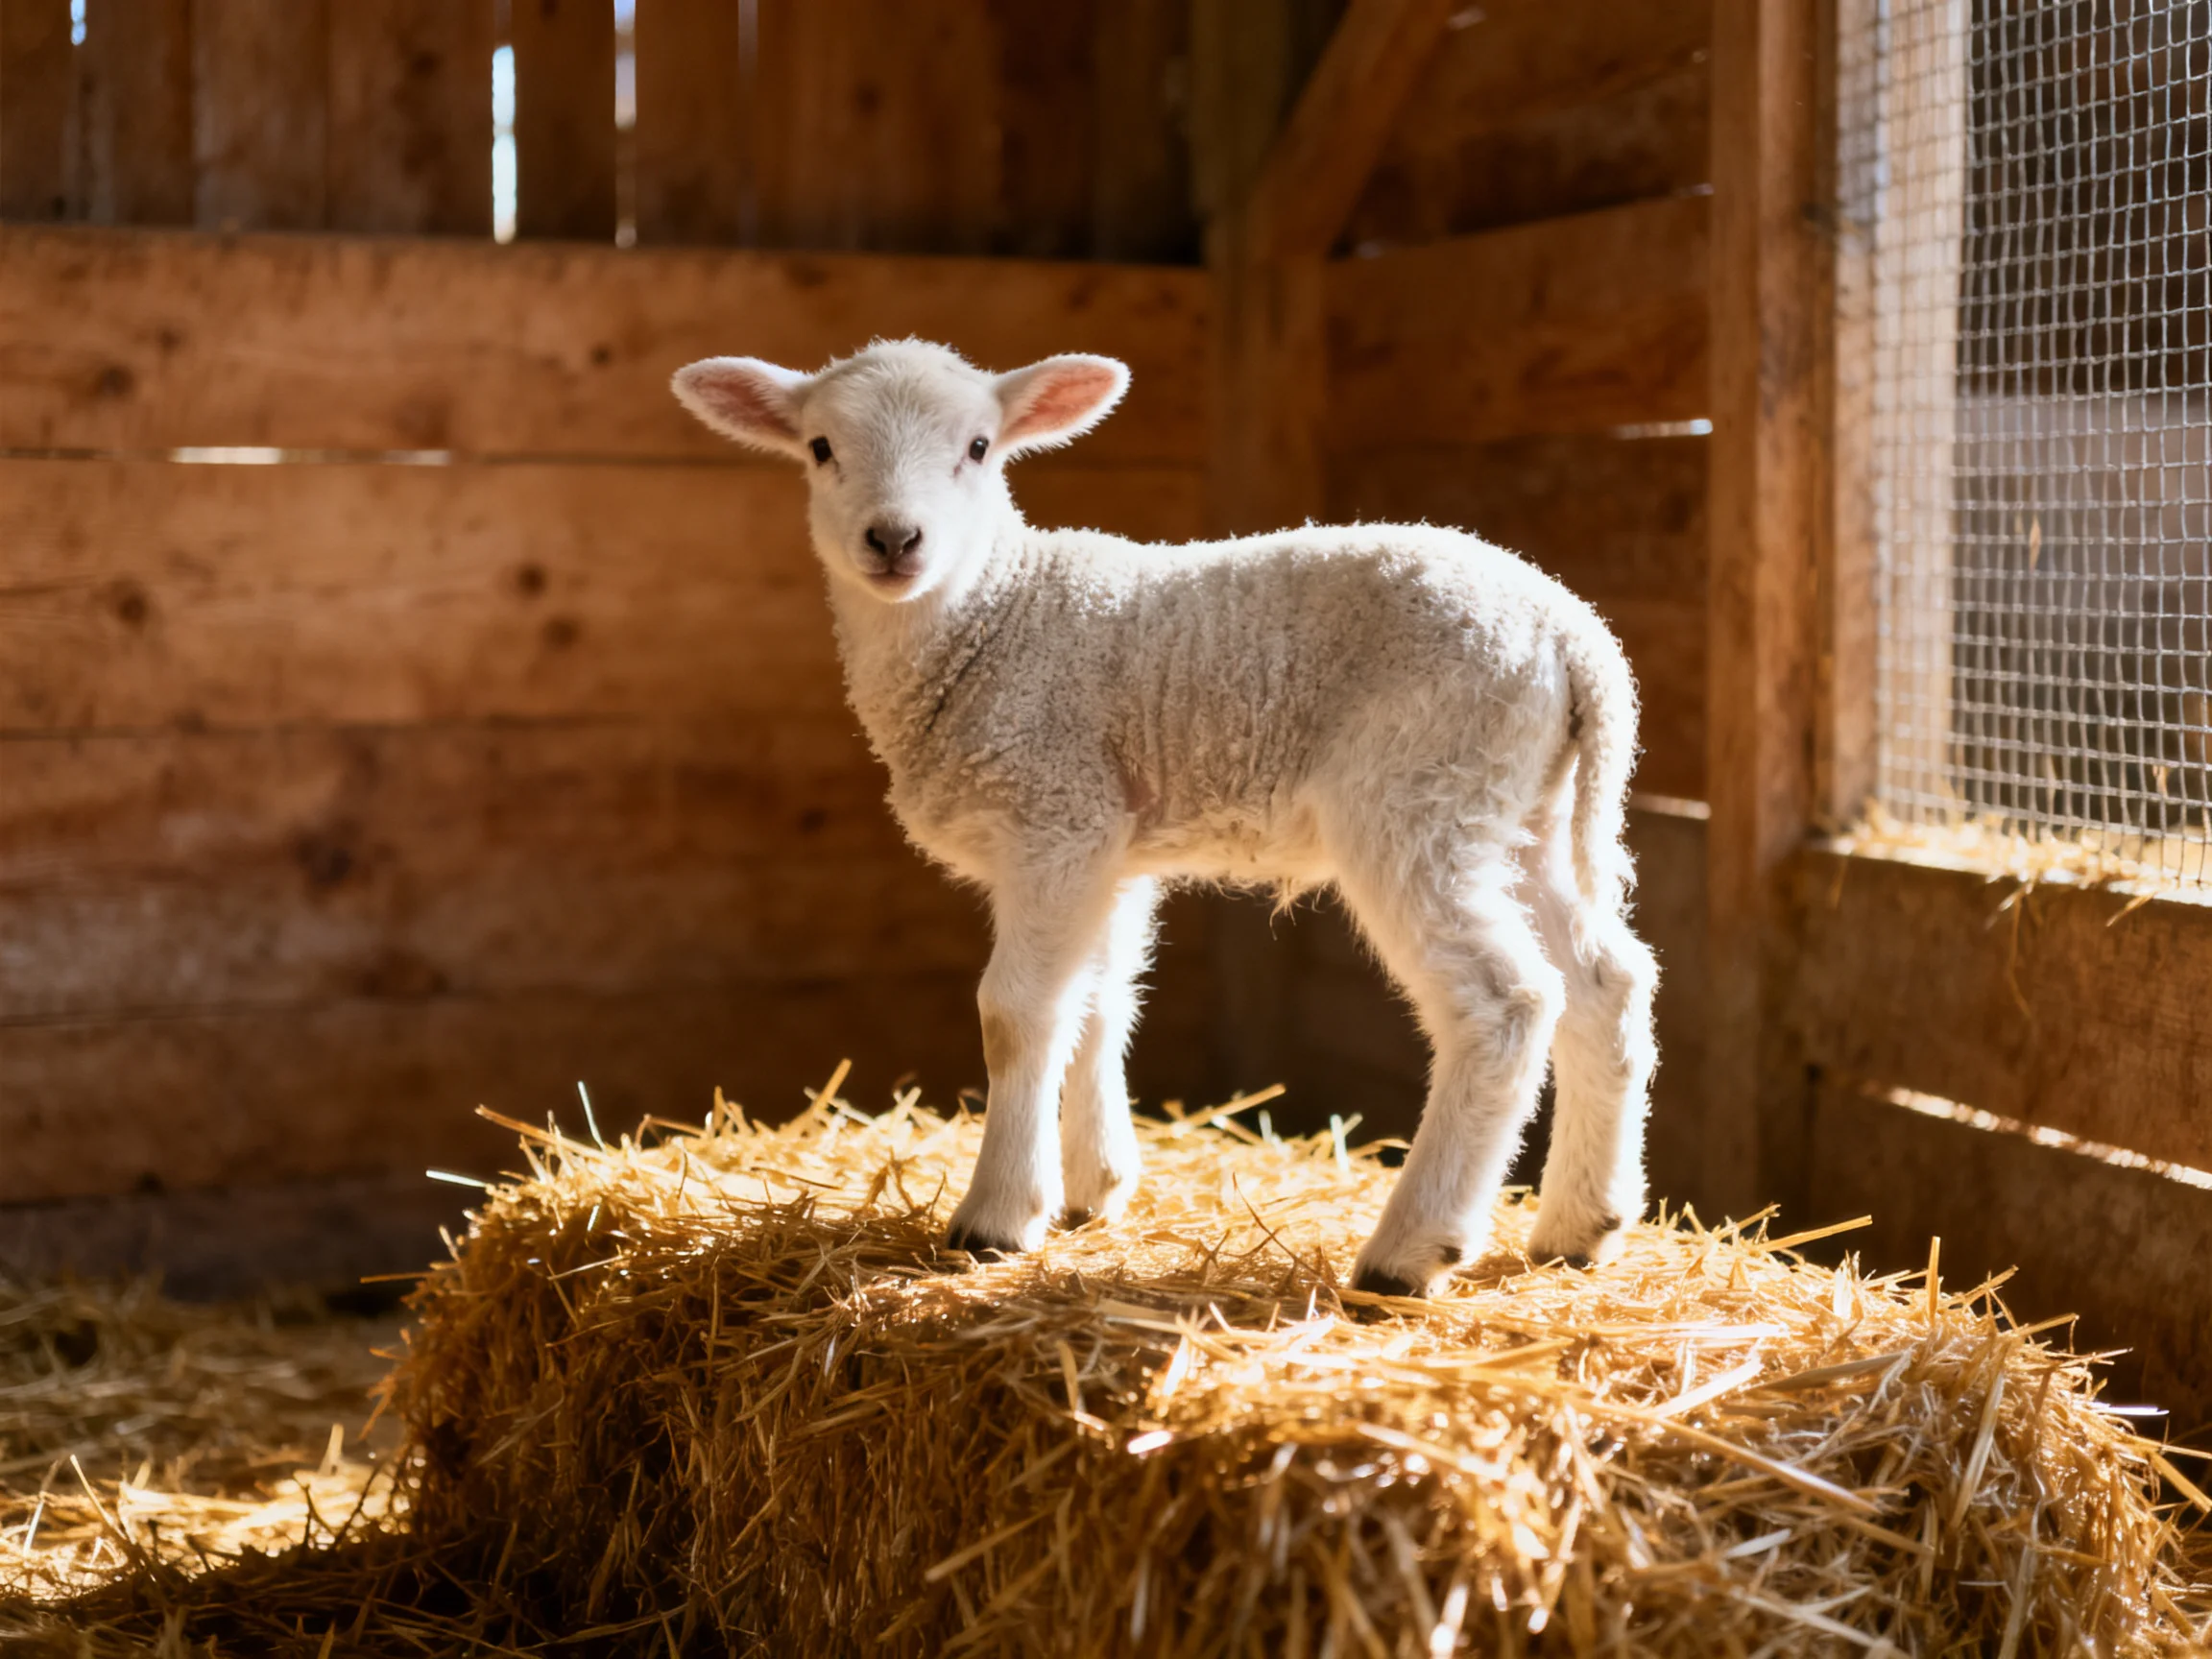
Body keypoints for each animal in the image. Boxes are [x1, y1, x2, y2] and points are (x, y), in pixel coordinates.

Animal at [671, 339, 1658, 1296]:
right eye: (820, 447)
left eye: (980, 447)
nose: (893, 538)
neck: (996, 613)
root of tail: (1574, 634)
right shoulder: (1105, 838)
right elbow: (1099, 997)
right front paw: (1093, 1188)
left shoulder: (1054, 811)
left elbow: (1016, 1015)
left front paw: (998, 1216)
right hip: (1519, 807)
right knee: (1605, 983)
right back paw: (1580, 1229)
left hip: (1422, 791)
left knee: (1506, 1003)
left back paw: (1410, 1252)